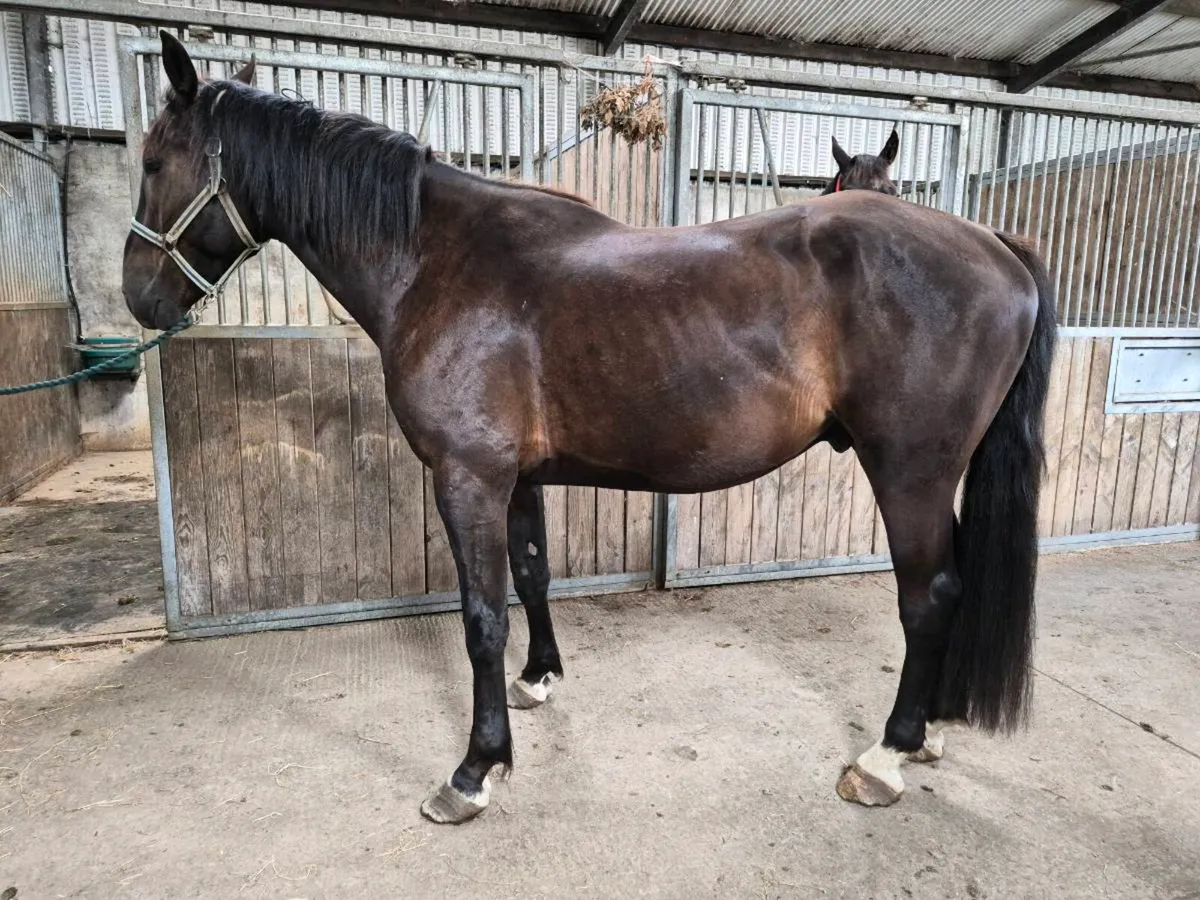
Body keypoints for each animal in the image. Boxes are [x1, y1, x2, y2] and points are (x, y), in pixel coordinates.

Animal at [123, 32, 1056, 824]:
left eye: (155, 160)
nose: (138, 299)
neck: (437, 263)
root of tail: (997, 247)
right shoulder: (515, 477)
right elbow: (533, 576)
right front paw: (539, 680)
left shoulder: (466, 476)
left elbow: (481, 616)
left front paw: (476, 769)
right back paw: (931, 729)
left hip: (911, 470)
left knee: (928, 596)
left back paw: (887, 755)